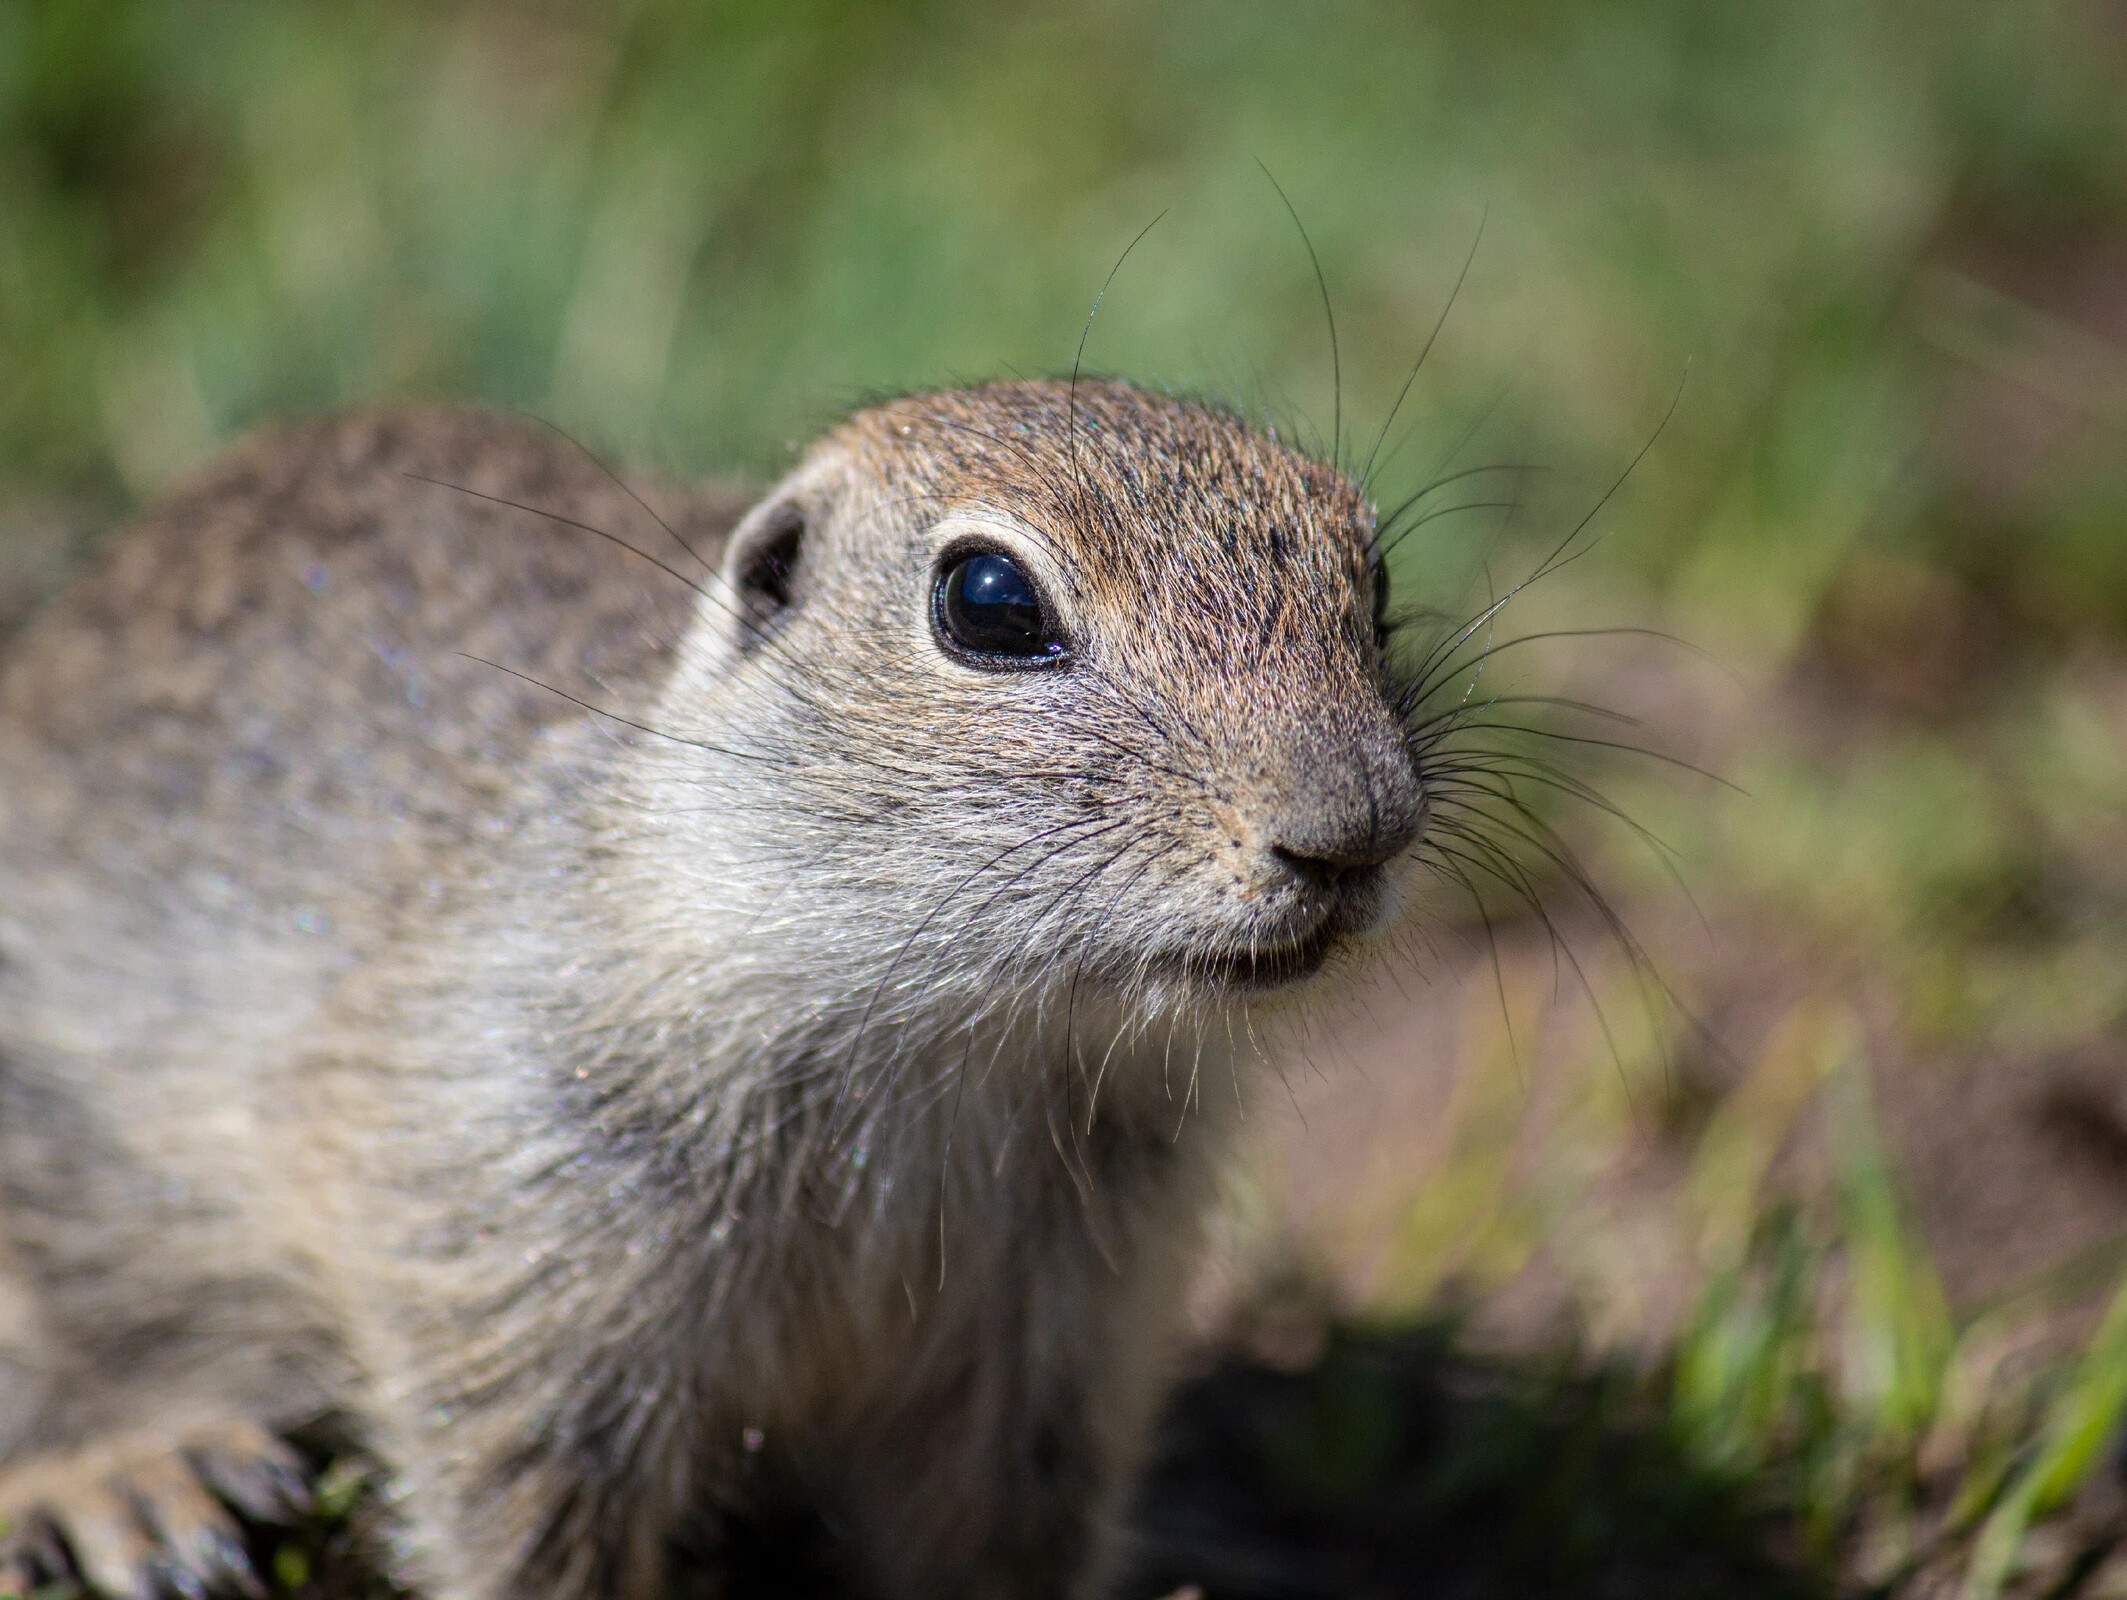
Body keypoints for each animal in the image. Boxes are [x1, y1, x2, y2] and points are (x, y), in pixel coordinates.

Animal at [4, 380, 1429, 1591]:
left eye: (1374, 577)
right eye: (989, 601)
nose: (1355, 830)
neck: (958, 1039)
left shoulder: (1062, 1342)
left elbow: (1002, 1538)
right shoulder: (514, 1258)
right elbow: (525, 1526)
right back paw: (140, 1483)